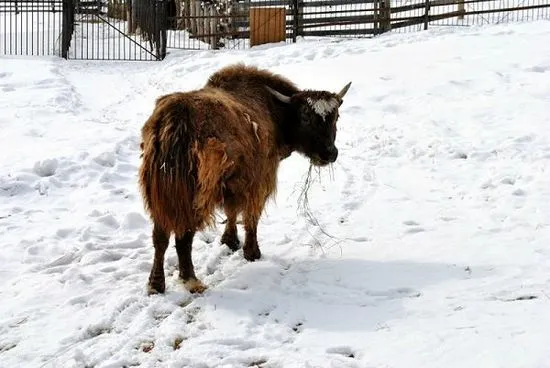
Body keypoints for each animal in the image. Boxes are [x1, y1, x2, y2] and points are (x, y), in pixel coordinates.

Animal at [139, 62, 354, 294]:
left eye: (336, 117)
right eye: (305, 117)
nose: (329, 153)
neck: (275, 111)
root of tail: (173, 119)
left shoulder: (232, 184)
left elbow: (231, 211)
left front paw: (230, 241)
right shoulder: (260, 181)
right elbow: (251, 216)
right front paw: (252, 252)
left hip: (160, 193)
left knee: (160, 237)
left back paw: (156, 284)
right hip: (190, 195)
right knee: (183, 236)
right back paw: (191, 280)